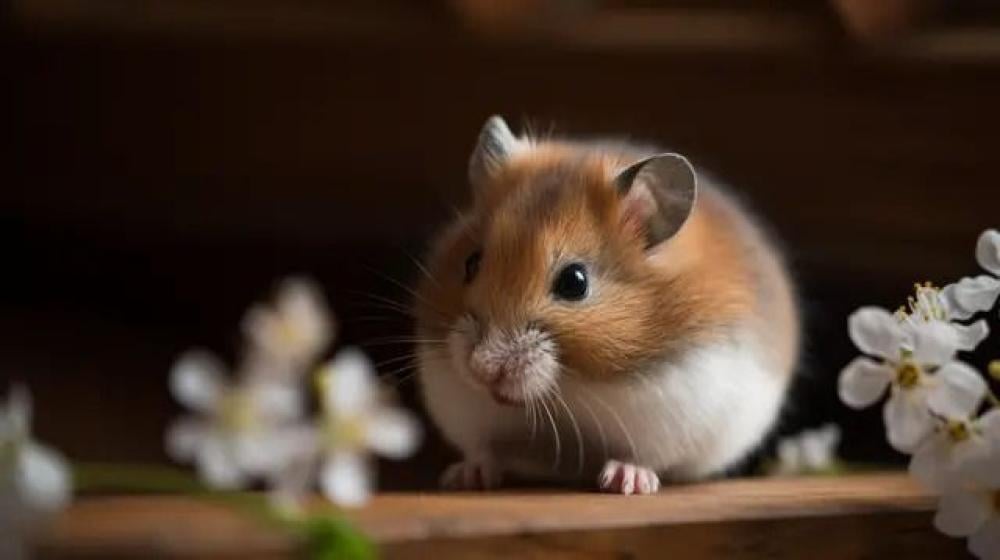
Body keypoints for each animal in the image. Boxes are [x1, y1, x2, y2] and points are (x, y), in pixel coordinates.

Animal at [414, 116, 799, 494]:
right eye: (471, 263)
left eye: (574, 282)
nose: (482, 369)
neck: (570, 389)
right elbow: (483, 449)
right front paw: (464, 477)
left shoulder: (678, 406)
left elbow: (643, 455)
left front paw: (625, 482)